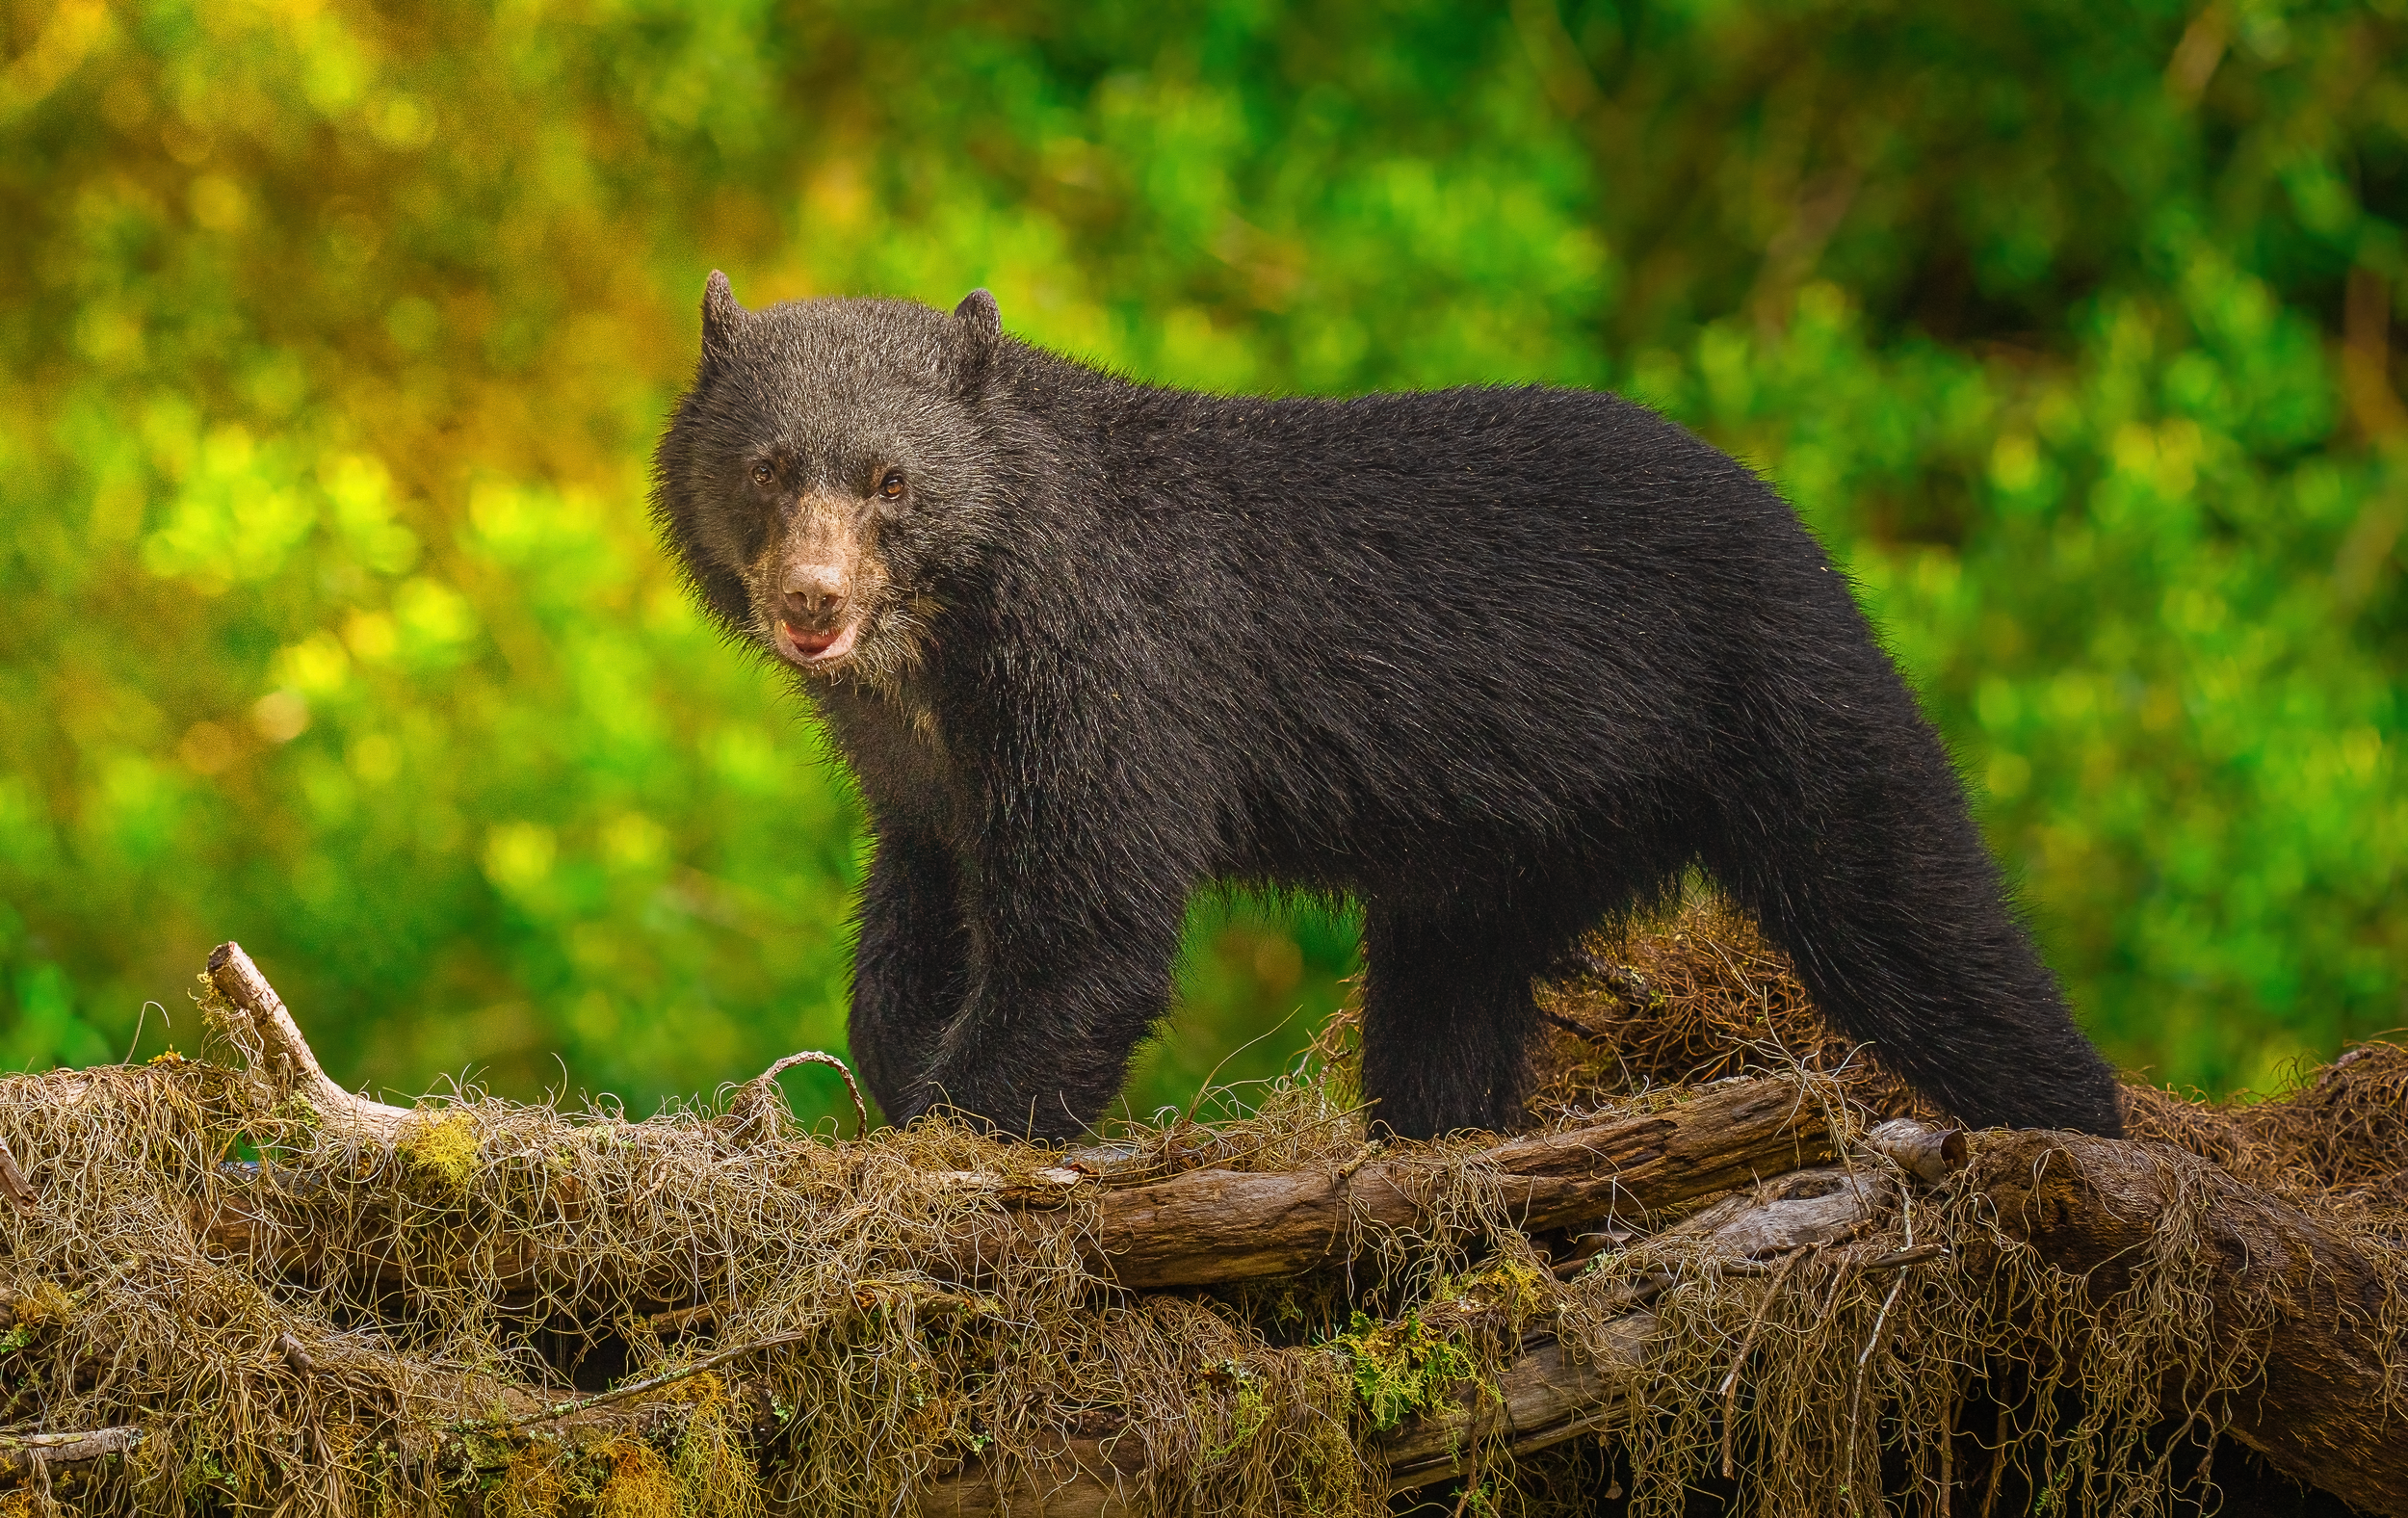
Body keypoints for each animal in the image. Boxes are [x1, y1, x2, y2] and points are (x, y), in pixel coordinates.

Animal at [650, 273, 2126, 1143]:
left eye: (890, 481)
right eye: (767, 468)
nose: (811, 602)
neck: (944, 646)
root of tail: (1809, 536)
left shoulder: (1106, 680)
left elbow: (1088, 938)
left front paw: (946, 1136)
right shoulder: (918, 769)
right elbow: (915, 911)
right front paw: (892, 1068)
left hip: (1783, 699)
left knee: (1916, 917)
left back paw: (2084, 1126)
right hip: (1511, 841)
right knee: (1445, 1001)